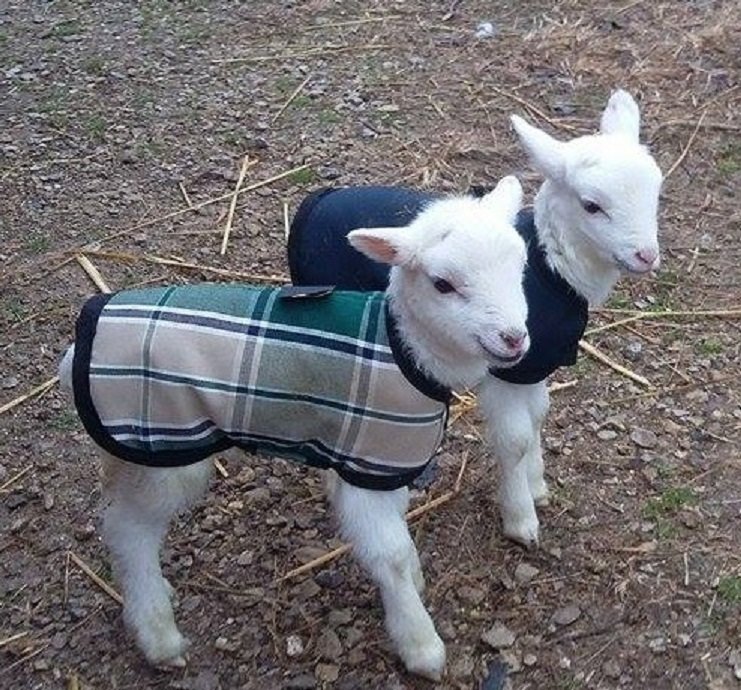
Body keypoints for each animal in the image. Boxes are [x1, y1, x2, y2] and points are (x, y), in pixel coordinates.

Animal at [58, 175, 530, 680]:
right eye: (443, 284)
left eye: (520, 265)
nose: (515, 339)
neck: (408, 349)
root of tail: (73, 356)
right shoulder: (369, 460)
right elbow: (392, 557)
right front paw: (420, 644)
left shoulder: (381, 463)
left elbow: (399, 542)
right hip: (163, 445)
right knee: (130, 530)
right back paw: (158, 634)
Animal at [286, 89, 663, 547]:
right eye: (592, 206)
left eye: (656, 192)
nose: (646, 256)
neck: (555, 266)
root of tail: (313, 203)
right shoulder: (506, 369)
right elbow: (515, 439)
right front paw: (521, 519)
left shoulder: (534, 363)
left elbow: (539, 416)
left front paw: (537, 485)